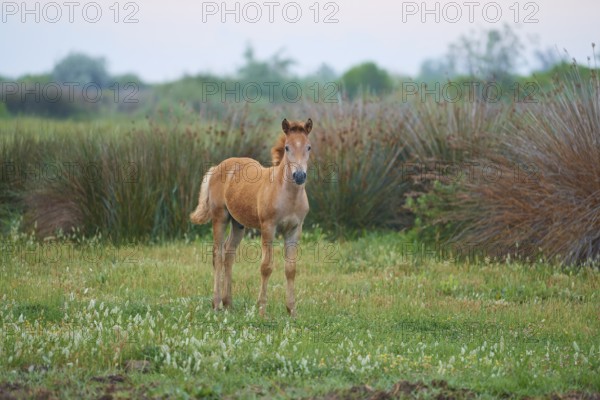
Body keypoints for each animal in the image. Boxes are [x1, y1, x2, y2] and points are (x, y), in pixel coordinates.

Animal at [191, 117, 314, 318]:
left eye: (308, 147)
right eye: (287, 147)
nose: (299, 176)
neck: (286, 194)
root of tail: (218, 167)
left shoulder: (295, 229)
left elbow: (291, 269)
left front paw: (292, 311)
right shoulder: (268, 227)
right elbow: (266, 267)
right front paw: (262, 310)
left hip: (238, 224)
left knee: (229, 254)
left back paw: (228, 304)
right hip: (220, 217)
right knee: (217, 255)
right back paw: (216, 304)